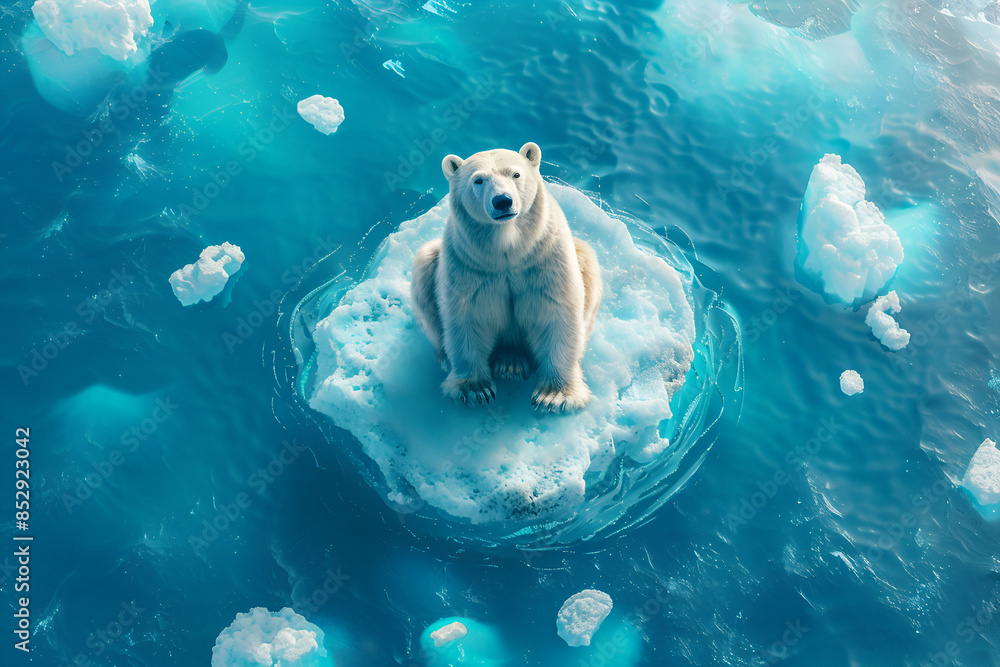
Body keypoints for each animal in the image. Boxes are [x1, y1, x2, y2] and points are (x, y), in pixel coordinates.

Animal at [410, 142, 602, 411]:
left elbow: (557, 310)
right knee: (424, 270)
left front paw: (554, 396)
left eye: (516, 174)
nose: (502, 201)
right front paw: (475, 389)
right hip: (431, 265)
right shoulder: (468, 265)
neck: (509, 252)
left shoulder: (544, 259)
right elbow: (467, 316)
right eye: (478, 180)